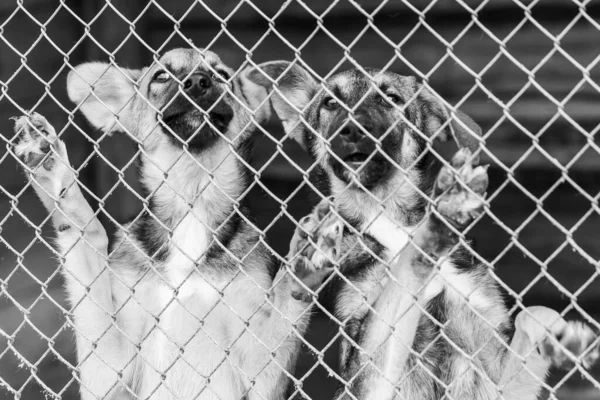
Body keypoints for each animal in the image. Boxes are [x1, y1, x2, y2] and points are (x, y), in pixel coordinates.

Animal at [14, 49, 330, 400]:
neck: (191, 196)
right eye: (162, 76)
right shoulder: (107, 373)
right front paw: (52, 170)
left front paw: (307, 256)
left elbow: (285, 306)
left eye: (222, 75)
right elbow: (86, 240)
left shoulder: (260, 376)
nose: (198, 82)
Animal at [248, 64, 600, 398]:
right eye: (330, 103)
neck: (386, 214)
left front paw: (561, 338)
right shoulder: (369, 376)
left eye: (391, 98)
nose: (353, 129)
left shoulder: (494, 367)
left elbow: (534, 314)